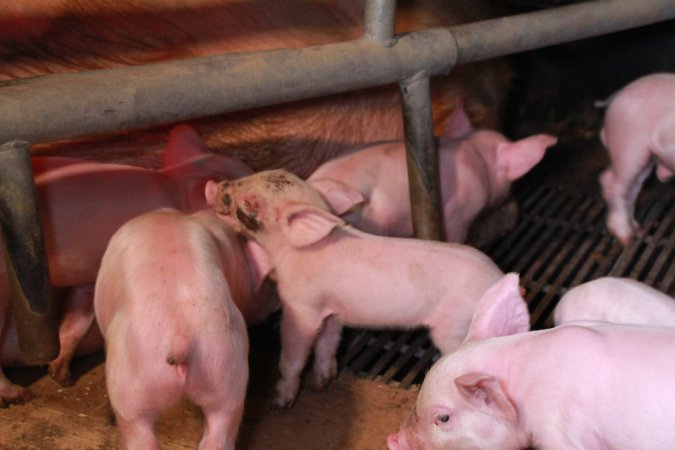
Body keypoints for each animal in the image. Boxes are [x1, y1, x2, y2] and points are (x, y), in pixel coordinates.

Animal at [205, 169, 504, 409]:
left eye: (251, 204)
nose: (213, 184)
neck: (293, 250)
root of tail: (498, 279)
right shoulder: (332, 310)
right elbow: (327, 344)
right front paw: (320, 383)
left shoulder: (301, 306)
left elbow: (294, 354)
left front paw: (278, 403)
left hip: (455, 326)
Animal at [598, 73, 675, 245]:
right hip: (629, 146)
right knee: (610, 181)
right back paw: (626, 238)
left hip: (645, 158)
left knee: (632, 190)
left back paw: (638, 231)